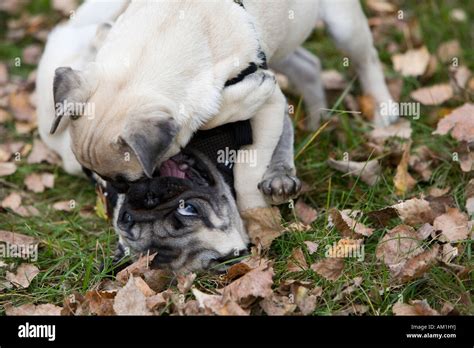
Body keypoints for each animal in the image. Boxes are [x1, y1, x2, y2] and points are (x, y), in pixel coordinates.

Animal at [40, 0, 398, 215]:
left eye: (128, 180)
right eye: (94, 176)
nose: (116, 191)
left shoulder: (266, 98)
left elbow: (247, 171)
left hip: (343, 25)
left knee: (367, 59)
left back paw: (383, 109)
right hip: (281, 48)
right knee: (307, 68)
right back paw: (316, 117)